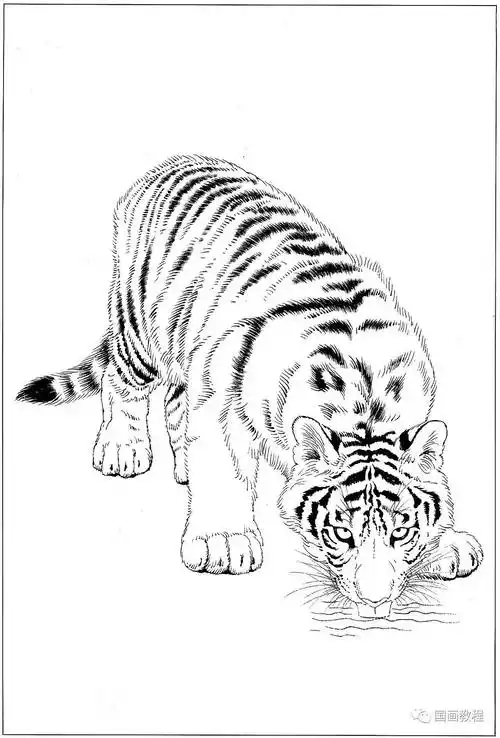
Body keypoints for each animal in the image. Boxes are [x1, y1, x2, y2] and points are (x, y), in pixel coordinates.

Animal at [17, 154, 483, 618]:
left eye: (402, 531)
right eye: (342, 533)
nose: (375, 599)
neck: (365, 408)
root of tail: (173, 161)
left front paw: (447, 545)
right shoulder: (224, 400)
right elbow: (226, 469)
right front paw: (222, 543)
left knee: (174, 402)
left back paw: (183, 468)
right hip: (142, 328)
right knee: (122, 382)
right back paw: (122, 450)